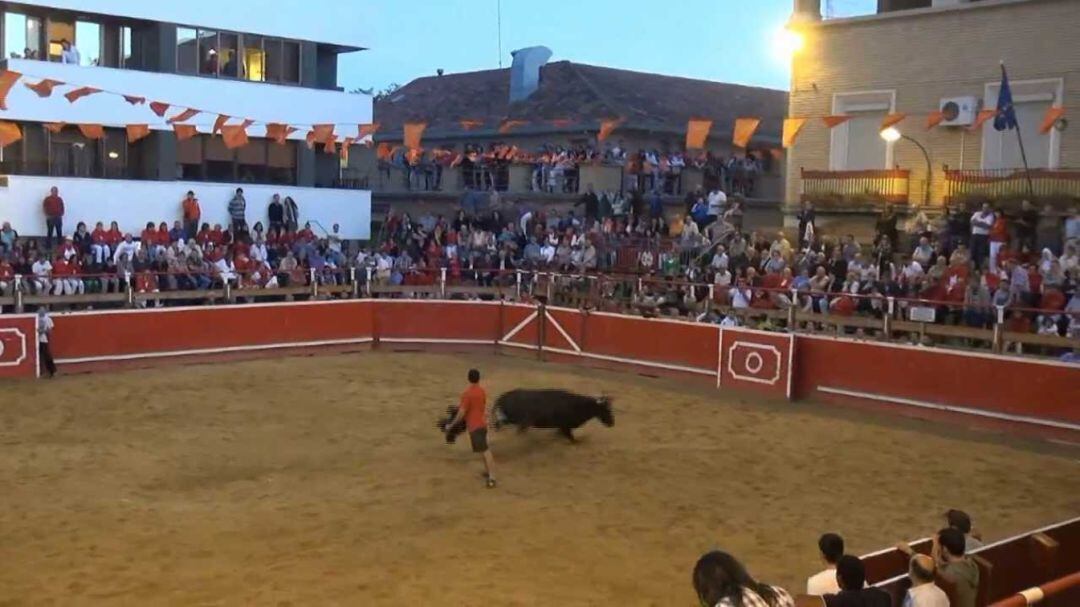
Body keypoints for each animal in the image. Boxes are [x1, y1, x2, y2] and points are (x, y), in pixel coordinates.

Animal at [434, 388, 613, 442]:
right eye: (605, 410)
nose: (612, 423)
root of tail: (503, 397)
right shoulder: (566, 426)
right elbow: (572, 438)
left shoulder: (563, 427)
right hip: (516, 420)